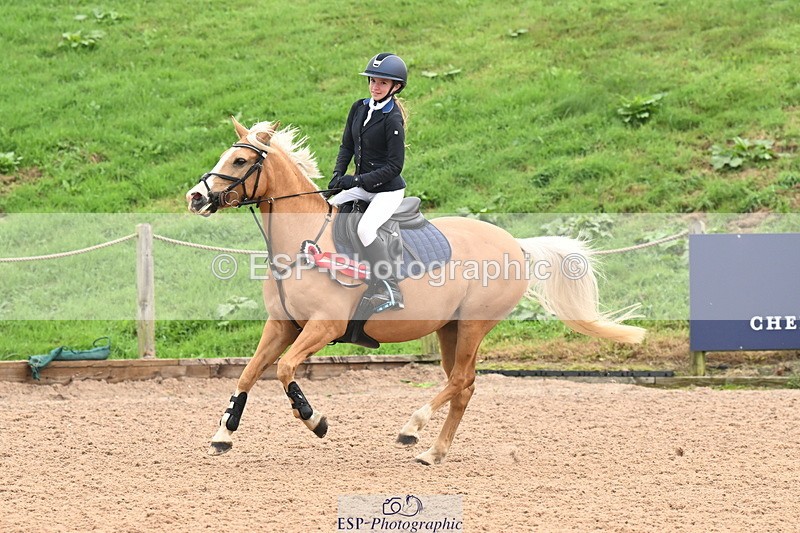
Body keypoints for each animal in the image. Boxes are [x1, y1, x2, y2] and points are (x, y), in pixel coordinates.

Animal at [185, 117, 646, 465]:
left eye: (240, 160)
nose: (195, 197)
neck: (304, 243)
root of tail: (516, 244)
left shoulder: (323, 327)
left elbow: (284, 370)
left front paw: (315, 420)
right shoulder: (282, 325)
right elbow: (249, 372)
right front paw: (223, 434)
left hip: (474, 324)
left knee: (460, 379)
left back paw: (413, 427)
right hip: (450, 328)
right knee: (464, 386)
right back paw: (434, 453)